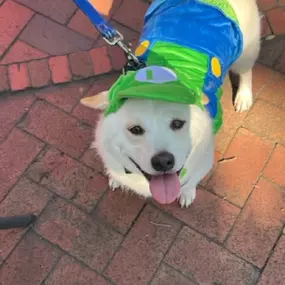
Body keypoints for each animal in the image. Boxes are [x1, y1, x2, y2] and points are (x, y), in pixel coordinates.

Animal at [80, 0, 260, 206]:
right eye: (135, 129)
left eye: (178, 123)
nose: (163, 161)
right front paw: (115, 178)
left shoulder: (203, 161)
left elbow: (191, 182)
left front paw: (187, 193)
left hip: (246, 52)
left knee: (246, 71)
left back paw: (244, 97)